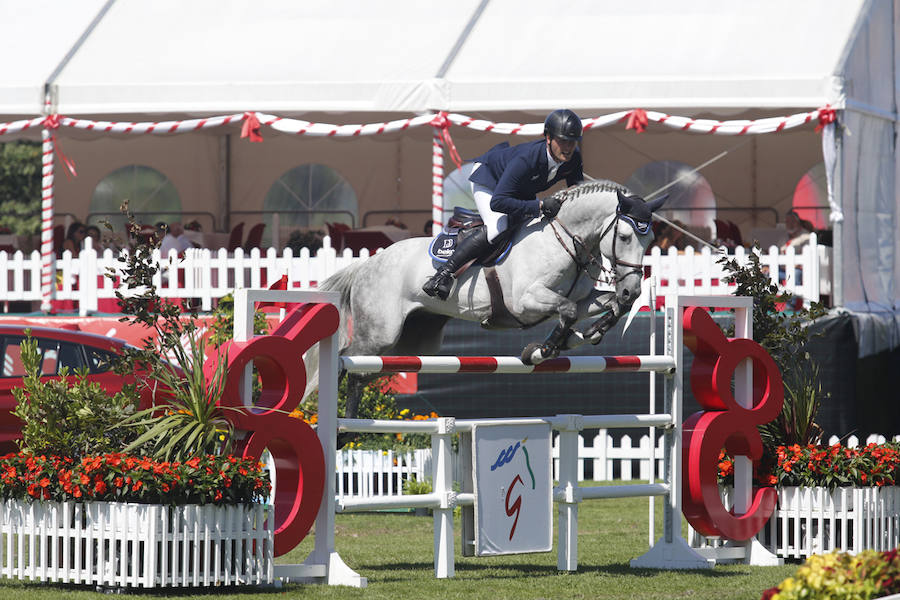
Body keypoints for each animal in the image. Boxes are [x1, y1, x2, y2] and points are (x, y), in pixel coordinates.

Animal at [310, 180, 668, 420]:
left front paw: (588, 333)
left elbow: (607, 306)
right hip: (379, 333)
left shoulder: (582, 300)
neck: (565, 240)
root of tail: (367, 262)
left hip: (412, 344)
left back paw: (348, 429)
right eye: (625, 236)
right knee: (346, 358)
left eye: (650, 238)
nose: (633, 290)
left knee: (362, 374)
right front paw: (544, 349)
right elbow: (565, 311)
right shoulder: (526, 301)